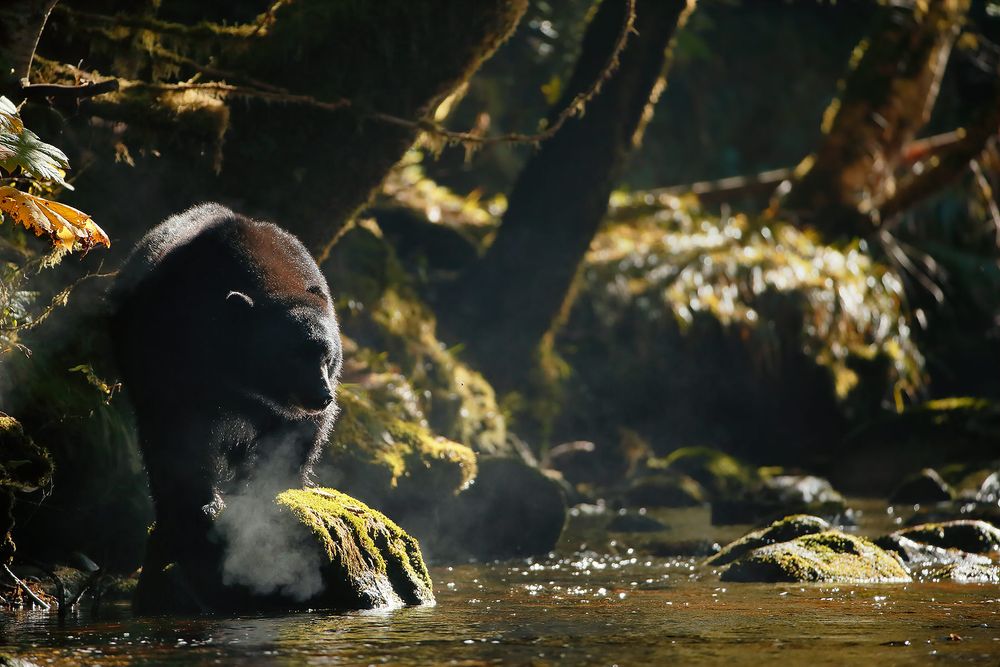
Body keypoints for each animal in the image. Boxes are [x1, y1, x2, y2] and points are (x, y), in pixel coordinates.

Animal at [109, 203, 342, 611]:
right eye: (292, 356)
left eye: (325, 355)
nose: (321, 395)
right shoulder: (175, 362)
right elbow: (178, 435)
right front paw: (201, 504)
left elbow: (297, 436)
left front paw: (275, 485)